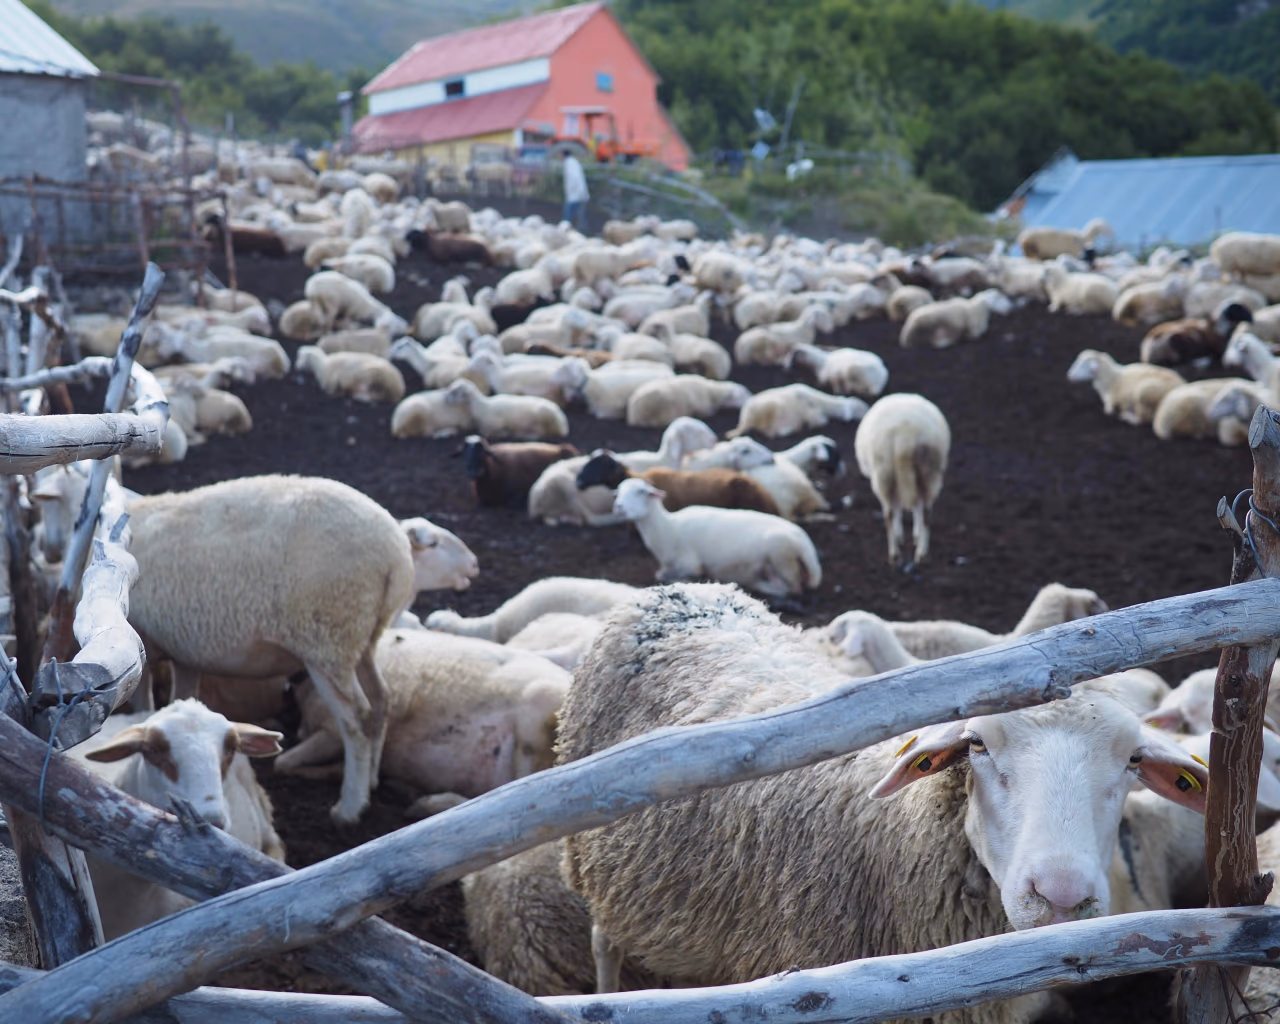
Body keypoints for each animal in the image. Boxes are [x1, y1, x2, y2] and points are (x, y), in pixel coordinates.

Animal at [126, 475, 414, 823]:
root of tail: (396, 554)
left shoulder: (141, 644)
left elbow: (143, 702)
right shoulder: (183, 653)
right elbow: (180, 696)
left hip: (327, 638)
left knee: (357, 718)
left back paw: (350, 806)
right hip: (360, 637)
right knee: (382, 699)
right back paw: (371, 779)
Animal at [612, 478, 821, 597]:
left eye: (641, 492)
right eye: (618, 492)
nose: (619, 507)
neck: (668, 528)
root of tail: (806, 543)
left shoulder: (691, 563)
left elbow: (672, 576)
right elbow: (661, 573)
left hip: (781, 555)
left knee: (793, 589)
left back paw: (759, 585)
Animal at [729, 382, 866, 440]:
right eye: (860, 408)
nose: (866, 412)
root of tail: (743, 418)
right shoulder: (807, 407)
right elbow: (818, 420)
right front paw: (810, 424)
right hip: (769, 407)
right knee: (770, 431)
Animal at [855, 392, 950, 566]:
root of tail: (904, 436)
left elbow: (900, 507)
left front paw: (902, 535)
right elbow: (914, 507)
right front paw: (914, 535)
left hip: (883, 472)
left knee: (889, 514)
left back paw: (895, 555)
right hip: (928, 471)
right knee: (925, 512)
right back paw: (921, 554)